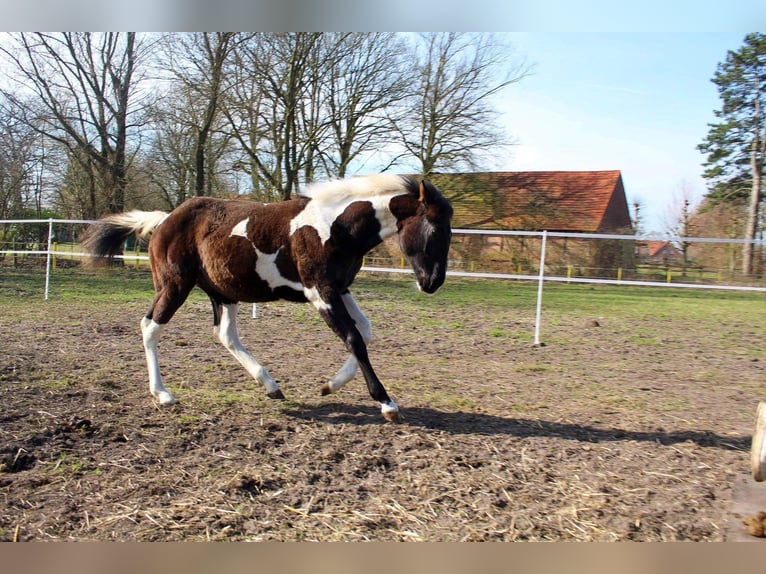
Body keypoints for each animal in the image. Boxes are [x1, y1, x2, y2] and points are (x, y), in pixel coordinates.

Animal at [82, 174, 456, 424]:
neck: (335, 227)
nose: (432, 282)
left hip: (224, 292)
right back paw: (163, 395)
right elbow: (353, 338)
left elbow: (365, 331)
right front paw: (386, 403)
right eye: (435, 229)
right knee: (150, 326)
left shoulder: (340, 288)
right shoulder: (320, 292)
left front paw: (329, 386)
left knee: (225, 334)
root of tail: (164, 220)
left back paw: (270, 386)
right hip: (174, 285)